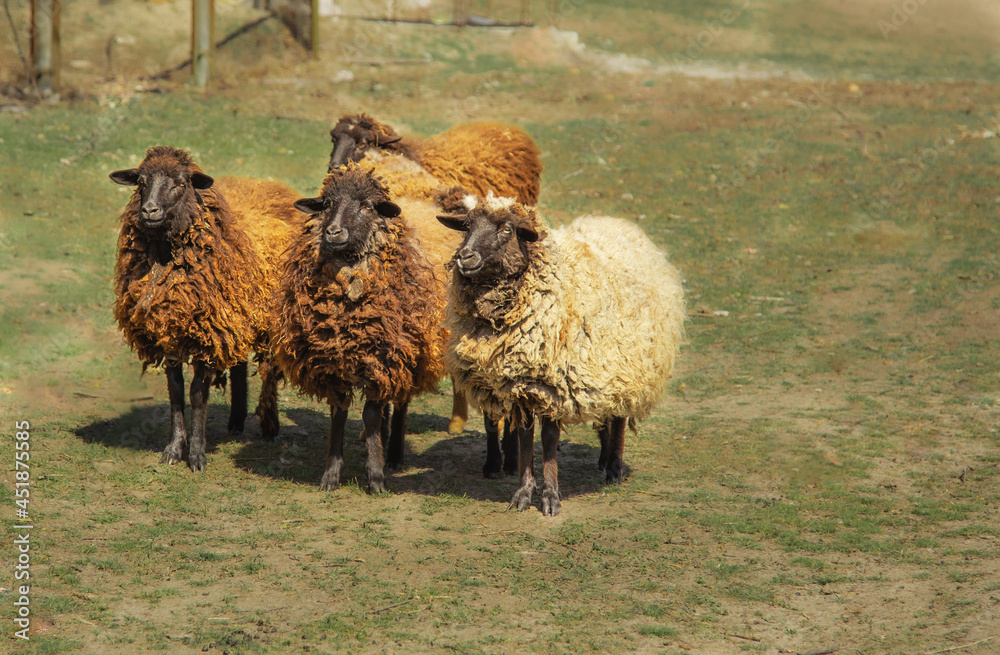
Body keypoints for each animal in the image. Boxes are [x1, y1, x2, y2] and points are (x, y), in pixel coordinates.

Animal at [110, 146, 303, 471]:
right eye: (141, 182)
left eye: (181, 183)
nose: (149, 211)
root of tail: (269, 185)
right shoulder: (172, 333)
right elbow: (176, 392)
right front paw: (174, 449)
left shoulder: (206, 336)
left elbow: (197, 394)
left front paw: (197, 454)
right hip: (236, 316)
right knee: (239, 364)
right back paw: (236, 420)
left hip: (272, 319)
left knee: (268, 371)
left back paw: (270, 426)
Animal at [271, 163, 448, 493]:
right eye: (327, 203)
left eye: (367, 206)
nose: (333, 232)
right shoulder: (331, 363)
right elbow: (339, 414)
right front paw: (331, 475)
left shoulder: (382, 358)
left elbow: (370, 414)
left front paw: (375, 475)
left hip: (410, 354)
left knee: (400, 402)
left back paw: (394, 454)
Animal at [437, 196, 685, 515]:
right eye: (467, 225)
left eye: (506, 229)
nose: (464, 257)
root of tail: (619, 224)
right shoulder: (520, 388)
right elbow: (525, 438)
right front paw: (523, 493)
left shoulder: (553, 385)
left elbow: (549, 440)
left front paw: (550, 497)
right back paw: (603, 458)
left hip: (627, 365)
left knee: (618, 417)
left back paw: (614, 468)